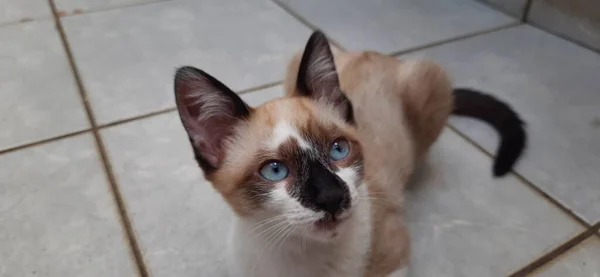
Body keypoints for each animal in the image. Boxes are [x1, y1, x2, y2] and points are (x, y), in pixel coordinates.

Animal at [171, 30, 524, 276]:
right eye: (275, 170)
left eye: (338, 149)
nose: (331, 197)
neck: (301, 256)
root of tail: (376, 53)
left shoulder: (395, 258)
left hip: (428, 79)